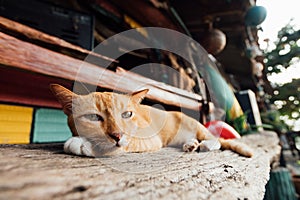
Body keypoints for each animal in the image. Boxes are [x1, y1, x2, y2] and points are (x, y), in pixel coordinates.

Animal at [49, 83, 253, 157]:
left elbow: (126, 144)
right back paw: (191, 144)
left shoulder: (147, 139)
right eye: (93, 117)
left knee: (217, 140)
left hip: (200, 129)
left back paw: (205, 145)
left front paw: (83, 144)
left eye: (126, 114)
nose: (117, 135)